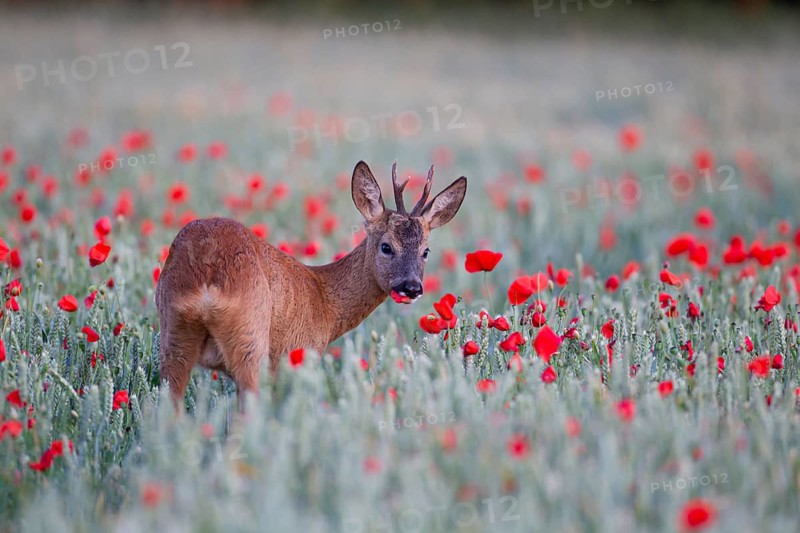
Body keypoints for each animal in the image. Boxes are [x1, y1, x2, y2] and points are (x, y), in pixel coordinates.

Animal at [155, 160, 467, 405]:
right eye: (387, 247)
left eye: (426, 251)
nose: (411, 287)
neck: (326, 303)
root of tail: (206, 274)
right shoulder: (299, 354)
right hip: (250, 341)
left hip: (173, 335)